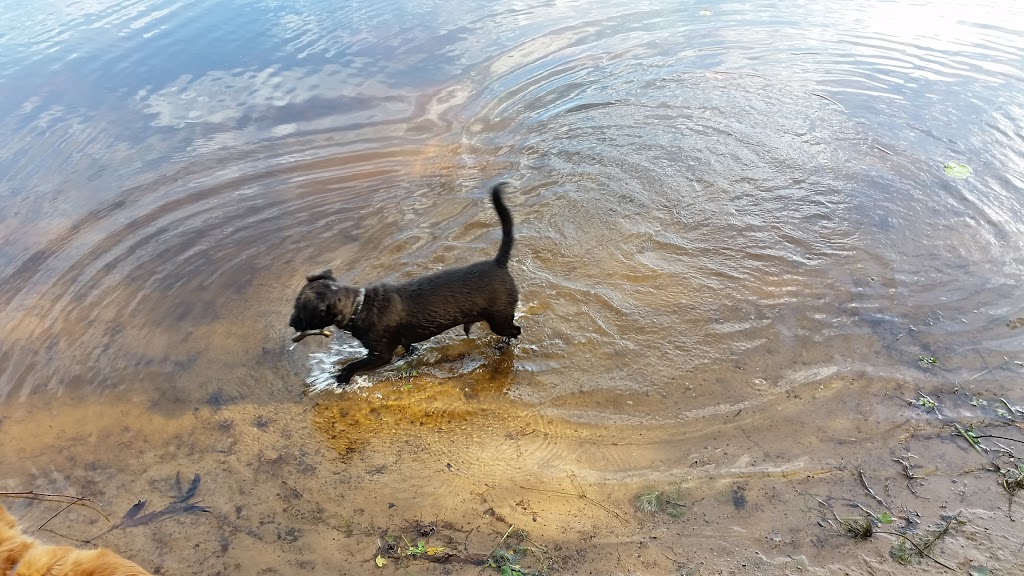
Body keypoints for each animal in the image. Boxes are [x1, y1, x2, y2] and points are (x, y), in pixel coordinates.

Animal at [292, 181, 524, 383]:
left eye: (299, 309)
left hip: (499, 320)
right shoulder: (403, 341)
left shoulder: (381, 355)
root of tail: (498, 263)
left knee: (516, 331)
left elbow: (354, 365)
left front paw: (342, 377)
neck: (360, 306)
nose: (291, 323)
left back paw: (503, 346)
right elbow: (409, 348)